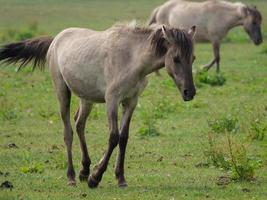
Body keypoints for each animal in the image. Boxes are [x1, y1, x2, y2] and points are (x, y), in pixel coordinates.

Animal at [0, 23, 197, 188]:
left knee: (79, 124)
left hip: (86, 98)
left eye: (193, 58)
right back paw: (72, 177)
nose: (190, 92)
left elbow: (124, 138)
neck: (131, 58)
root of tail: (56, 38)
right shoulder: (112, 100)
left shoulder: (131, 101)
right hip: (62, 92)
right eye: (176, 58)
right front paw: (95, 177)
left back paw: (83, 170)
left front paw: (120, 178)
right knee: (68, 132)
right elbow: (113, 137)